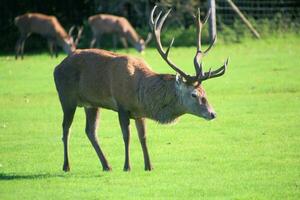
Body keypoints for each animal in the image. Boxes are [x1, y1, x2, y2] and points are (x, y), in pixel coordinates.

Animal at [54, 6, 227, 172]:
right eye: (194, 94)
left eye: (205, 92)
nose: (213, 113)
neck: (140, 92)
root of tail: (57, 67)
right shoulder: (122, 106)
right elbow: (127, 136)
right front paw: (127, 166)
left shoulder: (140, 112)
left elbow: (143, 137)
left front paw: (149, 166)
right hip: (66, 97)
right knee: (65, 129)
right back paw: (66, 166)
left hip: (91, 104)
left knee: (90, 131)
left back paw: (107, 165)